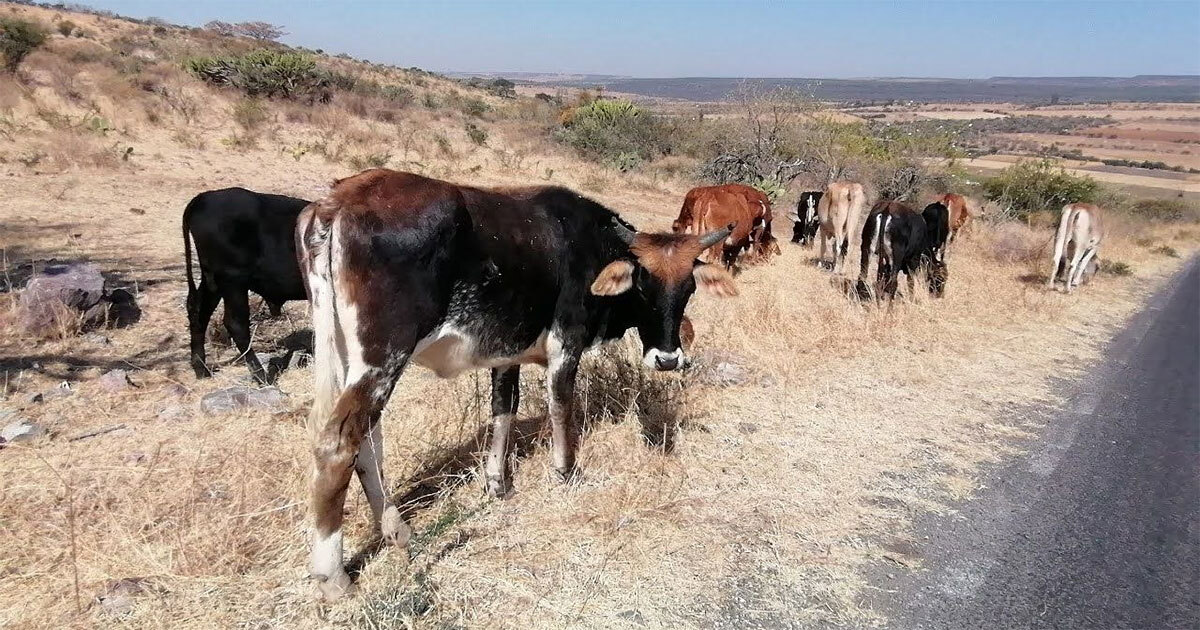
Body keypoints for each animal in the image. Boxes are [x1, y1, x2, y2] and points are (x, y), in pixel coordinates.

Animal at [183, 187, 309, 384]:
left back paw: (202, 370)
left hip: (213, 281)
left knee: (198, 313)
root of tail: (203, 197)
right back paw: (261, 376)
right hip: (233, 281)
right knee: (236, 324)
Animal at [295, 168, 734, 600]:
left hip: (351, 359)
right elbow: (561, 406)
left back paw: (397, 531)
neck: (585, 243)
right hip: (384, 357)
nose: (668, 359)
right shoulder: (566, 343)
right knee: (340, 443)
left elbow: (503, 409)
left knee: (367, 441)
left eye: (688, 288)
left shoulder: (506, 352)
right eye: (643, 285)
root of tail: (339, 199)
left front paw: (496, 482)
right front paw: (565, 471)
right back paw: (334, 576)